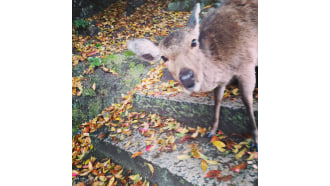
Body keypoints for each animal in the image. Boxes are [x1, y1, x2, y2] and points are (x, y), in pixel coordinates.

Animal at [127, 0, 260, 149]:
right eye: (163, 57)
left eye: (194, 41)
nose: (187, 77)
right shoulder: (222, 80)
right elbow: (217, 100)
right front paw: (211, 131)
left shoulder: (247, 65)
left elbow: (247, 101)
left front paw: (256, 140)